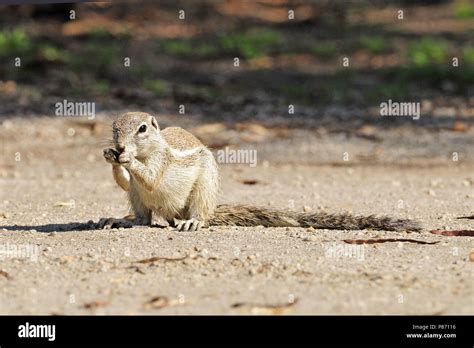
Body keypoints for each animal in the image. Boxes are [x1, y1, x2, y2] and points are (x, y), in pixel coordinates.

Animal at [98, 111, 420, 231]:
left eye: (141, 129)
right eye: (114, 128)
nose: (119, 146)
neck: (147, 149)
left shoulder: (161, 161)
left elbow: (152, 178)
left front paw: (128, 160)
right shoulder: (133, 181)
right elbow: (127, 183)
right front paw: (111, 158)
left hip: (203, 191)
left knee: (197, 214)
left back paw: (192, 222)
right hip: (139, 200)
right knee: (143, 216)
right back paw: (121, 220)